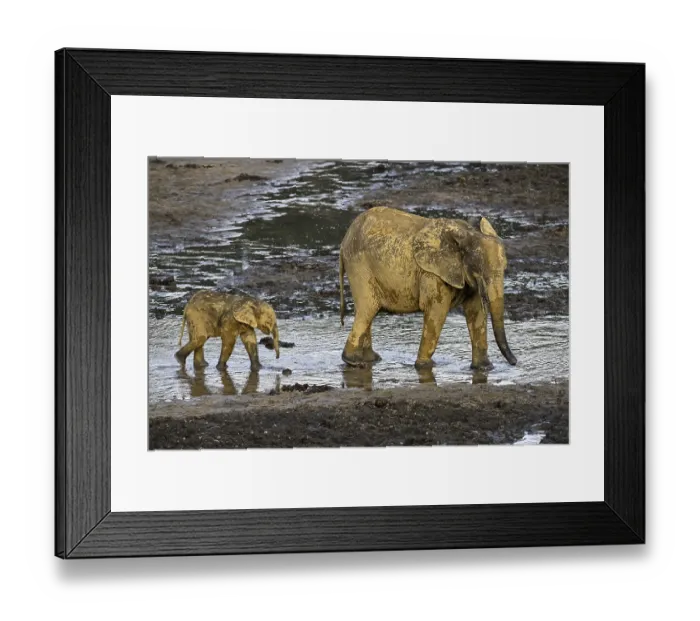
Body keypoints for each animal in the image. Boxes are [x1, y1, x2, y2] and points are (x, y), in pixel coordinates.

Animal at [338, 206, 517, 370]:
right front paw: (425, 367)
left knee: (367, 311)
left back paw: (371, 360)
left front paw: (485, 368)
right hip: (359, 265)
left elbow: (476, 312)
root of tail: (344, 241)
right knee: (368, 308)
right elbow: (437, 311)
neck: (466, 233)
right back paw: (355, 362)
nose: (515, 362)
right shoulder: (432, 273)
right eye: (480, 270)